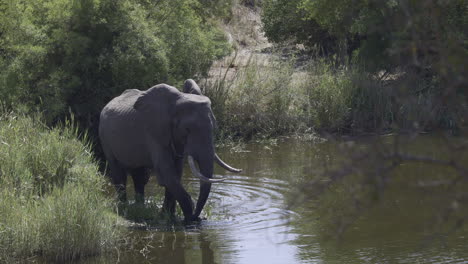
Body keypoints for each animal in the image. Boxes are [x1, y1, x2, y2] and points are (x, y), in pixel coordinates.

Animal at [100, 79, 243, 222]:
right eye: (187, 130)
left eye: (214, 127)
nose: (198, 217)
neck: (176, 103)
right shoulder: (153, 132)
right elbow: (166, 170)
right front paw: (188, 218)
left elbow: (176, 172)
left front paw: (169, 215)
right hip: (104, 136)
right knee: (119, 174)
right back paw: (124, 207)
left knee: (140, 177)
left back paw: (139, 207)